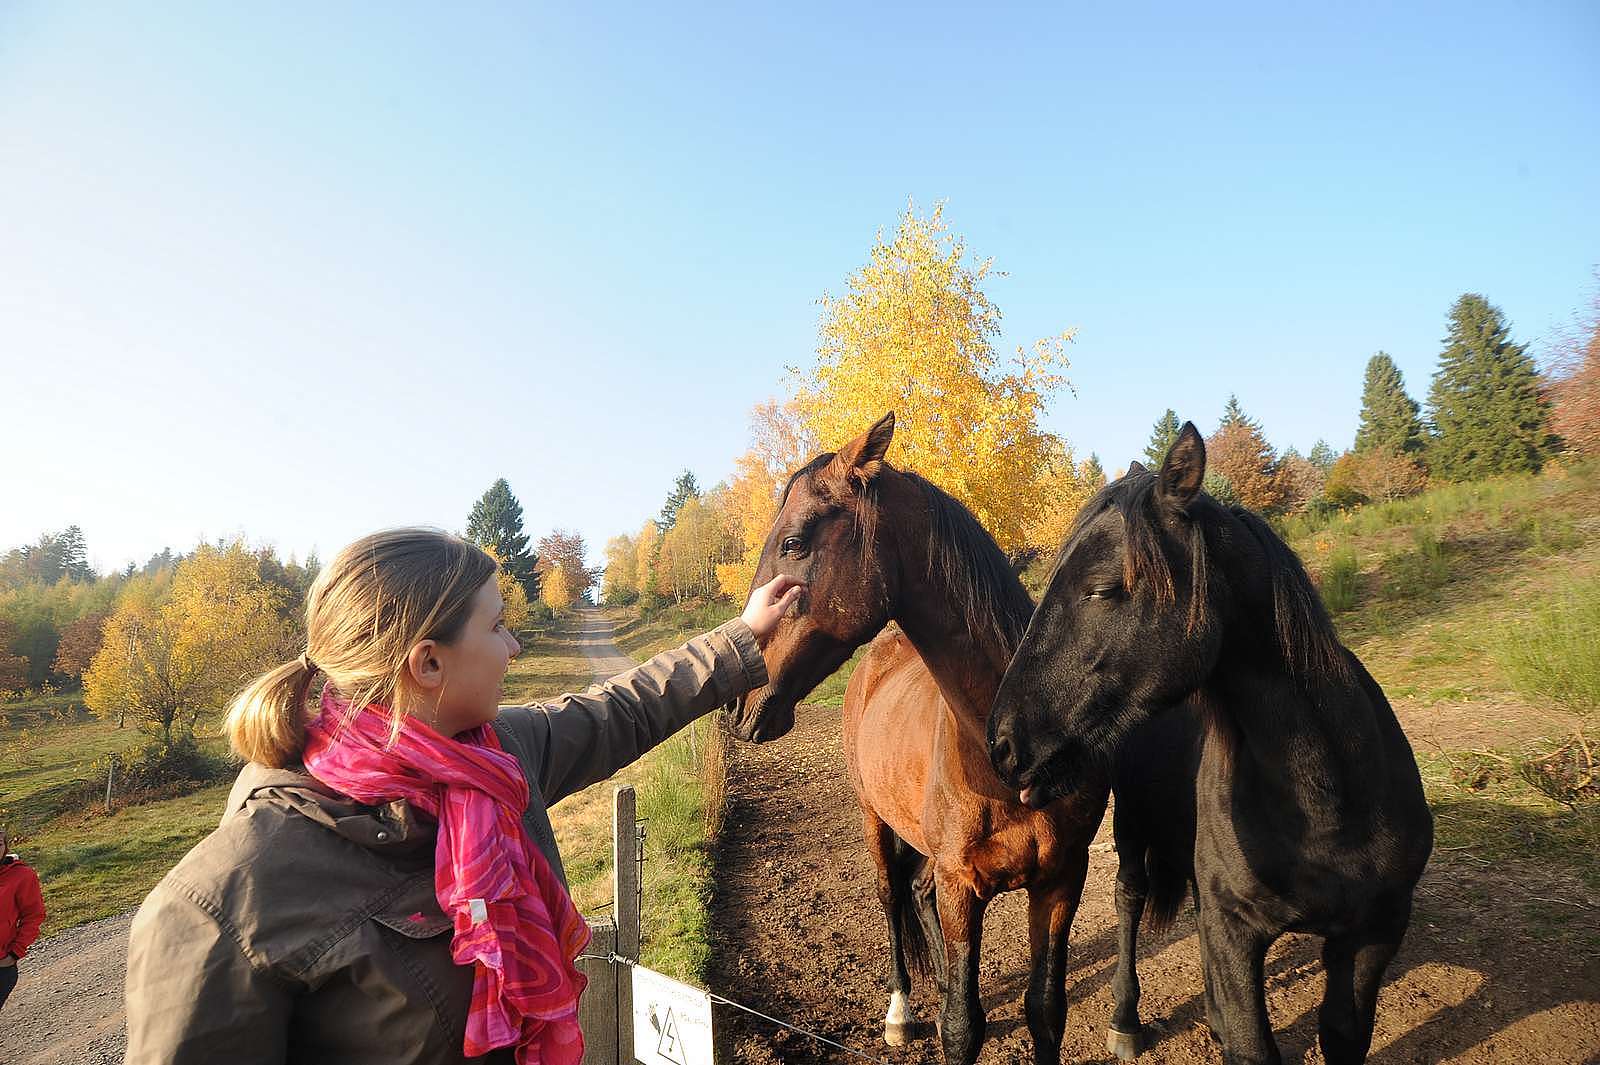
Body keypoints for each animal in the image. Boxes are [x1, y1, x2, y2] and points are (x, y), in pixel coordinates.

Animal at [732, 409, 1107, 1061]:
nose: (740, 699)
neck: (1007, 760)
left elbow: (1045, 1010)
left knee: (918, 892)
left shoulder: (1063, 880)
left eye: (794, 543)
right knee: (892, 895)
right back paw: (903, 1012)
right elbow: (962, 1026)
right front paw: (936, 1012)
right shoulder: (962, 886)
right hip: (875, 818)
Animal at [992, 422, 1433, 1061]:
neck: (1328, 799)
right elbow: (1253, 1043)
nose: (1002, 743)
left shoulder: (1373, 935)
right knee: (1130, 899)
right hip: (1133, 828)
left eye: (1101, 589)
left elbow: (1340, 1035)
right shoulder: (1236, 932)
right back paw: (1127, 1020)